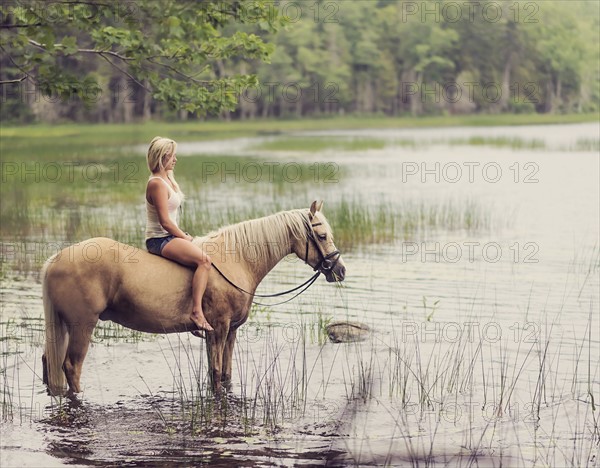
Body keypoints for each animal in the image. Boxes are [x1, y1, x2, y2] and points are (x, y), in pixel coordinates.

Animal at [42, 199, 346, 396]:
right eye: (321, 235)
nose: (339, 270)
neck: (235, 260)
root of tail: (57, 258)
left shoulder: (230, 331)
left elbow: (225, 374)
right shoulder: (218, 329)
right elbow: (216, 374)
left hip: (64, 326)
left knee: (50, 363)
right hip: (82, 325)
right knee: (71, 366)